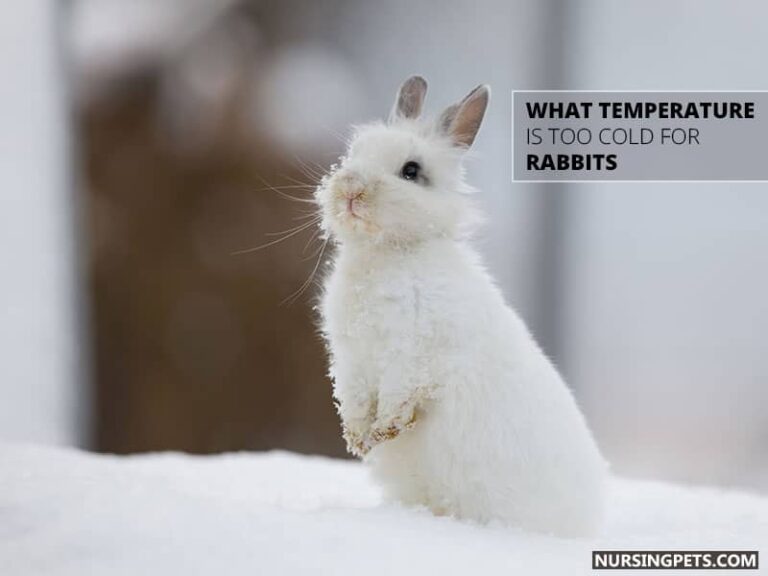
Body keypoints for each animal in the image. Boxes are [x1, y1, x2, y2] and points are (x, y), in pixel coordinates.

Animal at [315, 76, 607, 537]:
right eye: (354, 151)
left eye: (411, 171)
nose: (351, 190)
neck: (389, 252)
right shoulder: (349, 360)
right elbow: (353, 399)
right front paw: (358, 440)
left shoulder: (409, 354)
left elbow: (396, 398)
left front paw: (382, 433)